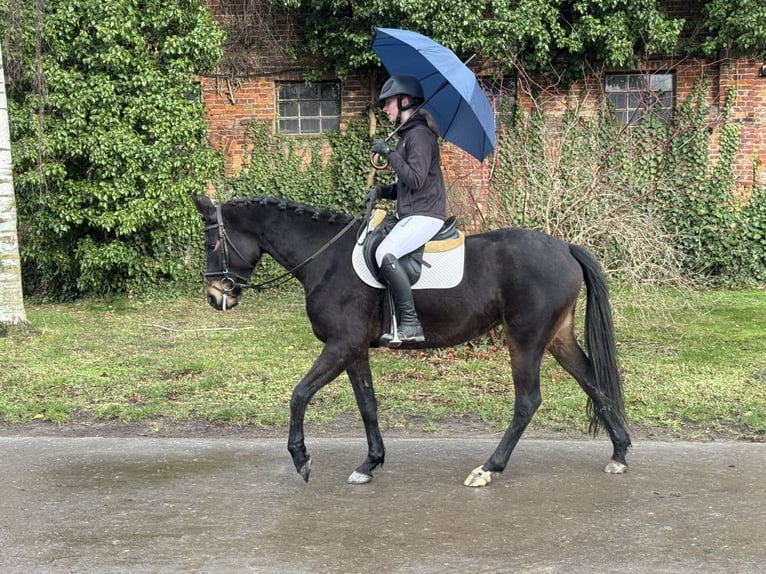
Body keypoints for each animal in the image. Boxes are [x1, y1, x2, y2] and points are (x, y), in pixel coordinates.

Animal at [195, 196, 632, 488]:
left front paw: (302, 459)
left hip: (524, 338)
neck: (326, 259)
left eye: (212, 243)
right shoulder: (354, 350)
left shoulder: (340, 345)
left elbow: (299, 395)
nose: (216, 297)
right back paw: (620, 454)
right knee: (594, 383)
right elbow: (368, 405)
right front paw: (370, 464)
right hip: (556, 337)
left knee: (528, 401)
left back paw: (488, 468)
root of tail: (565, 247)